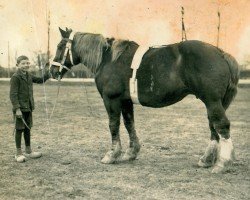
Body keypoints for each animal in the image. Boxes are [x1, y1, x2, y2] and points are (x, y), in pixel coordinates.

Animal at [49, 27, 239, 173]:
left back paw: (222, 164)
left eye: (60, 46)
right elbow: (129, 124)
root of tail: (221, 53)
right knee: (214, 128)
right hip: (215, 103)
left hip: (212, 102)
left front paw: (112, 154)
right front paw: (131, 152)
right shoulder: (126, 102)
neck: (108, 58)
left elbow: (113, 125)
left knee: (221, 126)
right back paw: (206, 160)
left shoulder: (112, 100)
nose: (52, 70)